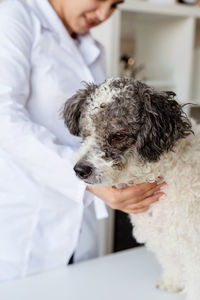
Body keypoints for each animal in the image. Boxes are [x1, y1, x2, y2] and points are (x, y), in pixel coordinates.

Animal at [62, 78, 200, 300]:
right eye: (86, 133)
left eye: (118, 136)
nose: (80, 170)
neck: (164, 171)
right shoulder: (166, 237)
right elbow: (172, 262)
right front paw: (172, 282)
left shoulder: (194, 245)